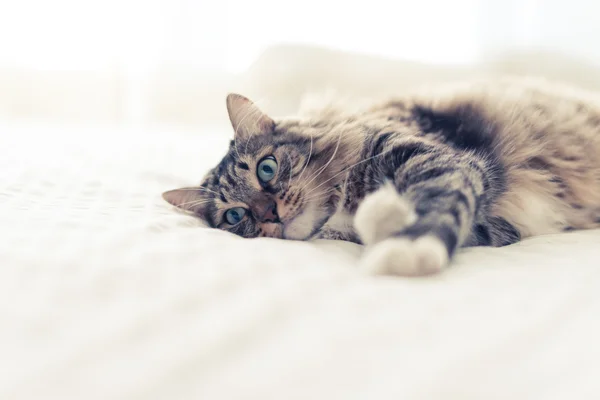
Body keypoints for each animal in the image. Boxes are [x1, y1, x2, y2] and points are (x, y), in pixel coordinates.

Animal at [163, 76, 600, 276]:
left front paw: (408, 251)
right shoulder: (503, 227)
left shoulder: (447, 164)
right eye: (236, 216)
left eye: (265, 168)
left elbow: (437, 206)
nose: (269, 214)